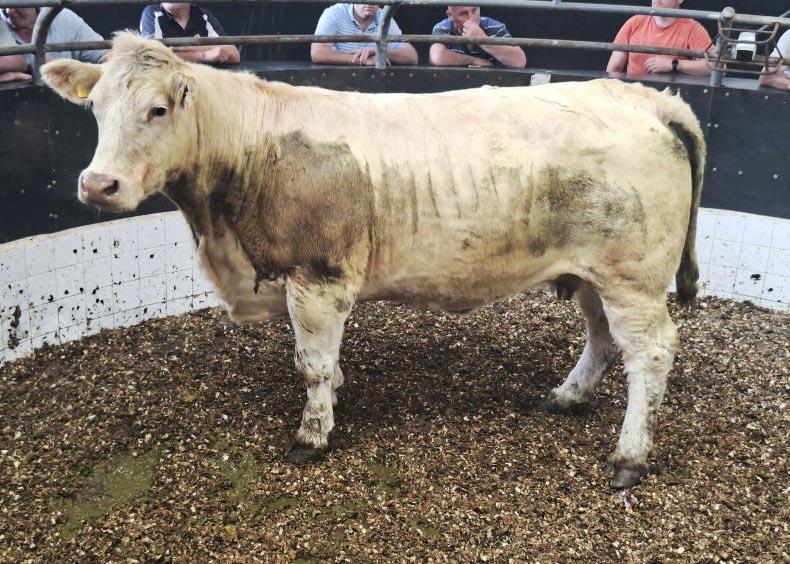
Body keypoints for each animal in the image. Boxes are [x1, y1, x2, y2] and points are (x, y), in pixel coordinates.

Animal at [42, 33, 704, 488]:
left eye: (159, 109)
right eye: (95, 108)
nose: (98, 186)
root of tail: (642, 98)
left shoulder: (318, 277)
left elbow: (310, 364)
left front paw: (312, 435)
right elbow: (321, 362)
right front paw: (336, 395)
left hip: (632, 278)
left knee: (650, 353)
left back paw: (629, 456)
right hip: (594, 273)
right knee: (602, 338)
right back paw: (567, 396)